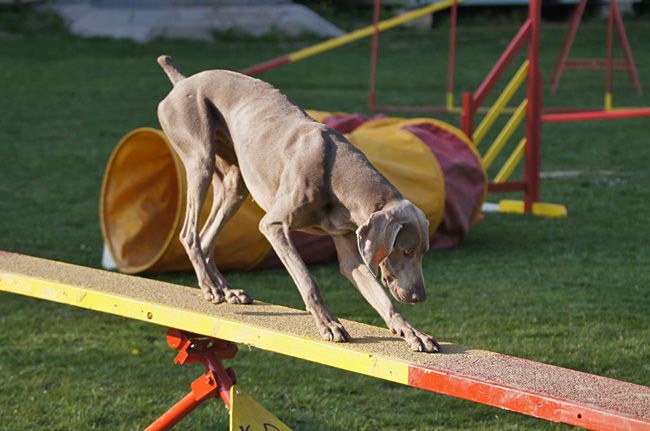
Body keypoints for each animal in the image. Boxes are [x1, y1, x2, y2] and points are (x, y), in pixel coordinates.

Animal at [158, 55, 440, 352]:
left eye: (423, 252)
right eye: (406, 250)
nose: (420, 296)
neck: (338, 176)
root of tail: (183, 80)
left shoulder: (349, 243)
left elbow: (381, 297)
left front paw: (412, 332)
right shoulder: (273, 225)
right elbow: (307, 280)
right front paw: (329, 324)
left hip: (235, 184)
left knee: (206, 237)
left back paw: (226, 290)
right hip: (200, 159)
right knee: (189, 234)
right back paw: (210, 288)